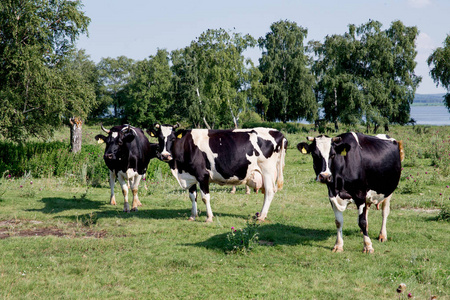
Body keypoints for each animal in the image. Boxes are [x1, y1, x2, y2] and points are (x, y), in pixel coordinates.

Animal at [149, 122, 288, 223]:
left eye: (172, 138)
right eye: (160, 138)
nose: (165, 155)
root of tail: (278, 132)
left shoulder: (202, 175)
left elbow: (205, 197)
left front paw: (209, 217)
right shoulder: (191, 176)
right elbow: (192, 196)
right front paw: (193, 216)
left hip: (268, 170)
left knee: (269, 191)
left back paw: (261, 216)